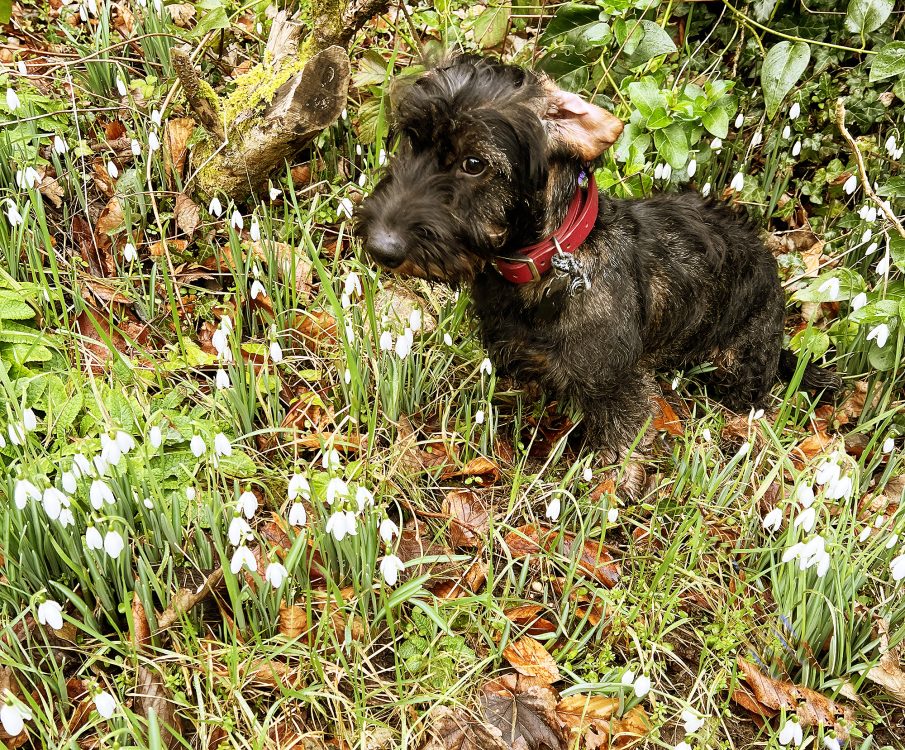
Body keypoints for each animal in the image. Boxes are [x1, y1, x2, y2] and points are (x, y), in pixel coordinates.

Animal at [354, 55, 840, 470]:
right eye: (410, 139)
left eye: (474, 163)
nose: (381, 247)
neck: (549, 265)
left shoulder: (616, 386)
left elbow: (619, 453)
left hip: (740, 370)